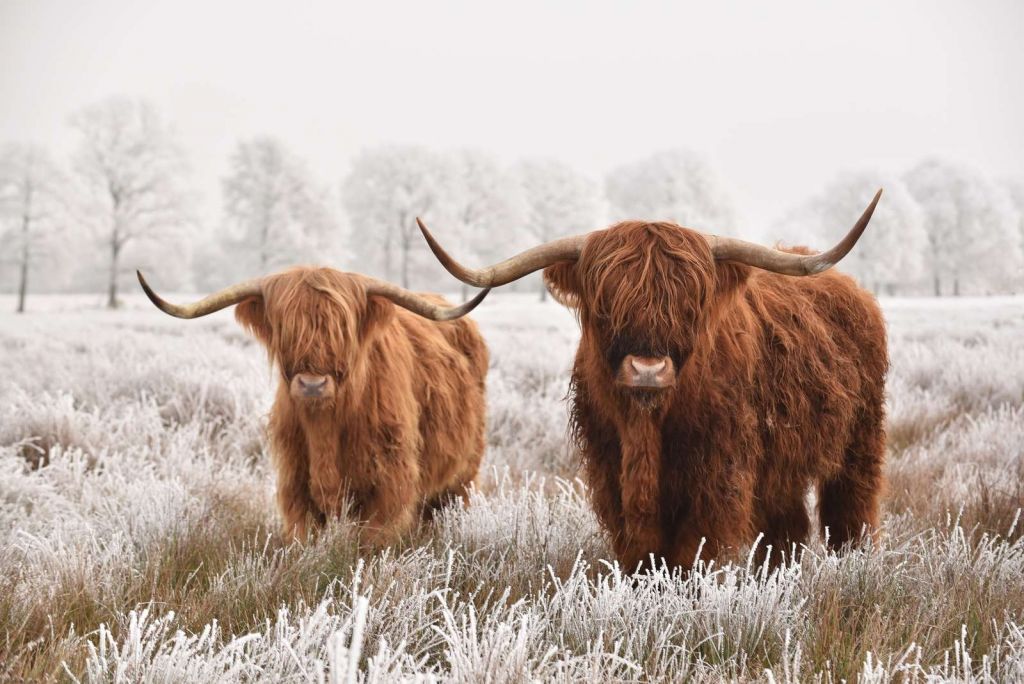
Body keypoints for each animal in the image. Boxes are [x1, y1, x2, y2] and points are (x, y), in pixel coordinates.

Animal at [139, 266, 487, 544]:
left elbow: (371, 544)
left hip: (463, 475)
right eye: (285, 328)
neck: (325, 427)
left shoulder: (389, 486)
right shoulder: (295, 486)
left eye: (342, 329)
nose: (312, 384)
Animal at [415, 189, 888, 569]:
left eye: (690, 303)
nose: (647, 369)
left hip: (860, 441)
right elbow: (641, 554)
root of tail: (855, 291)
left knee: (850, 511)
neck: (646, 427)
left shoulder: (718, 477)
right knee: (787, 526)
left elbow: (692, 553)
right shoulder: (611, 473)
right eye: (605, 303)